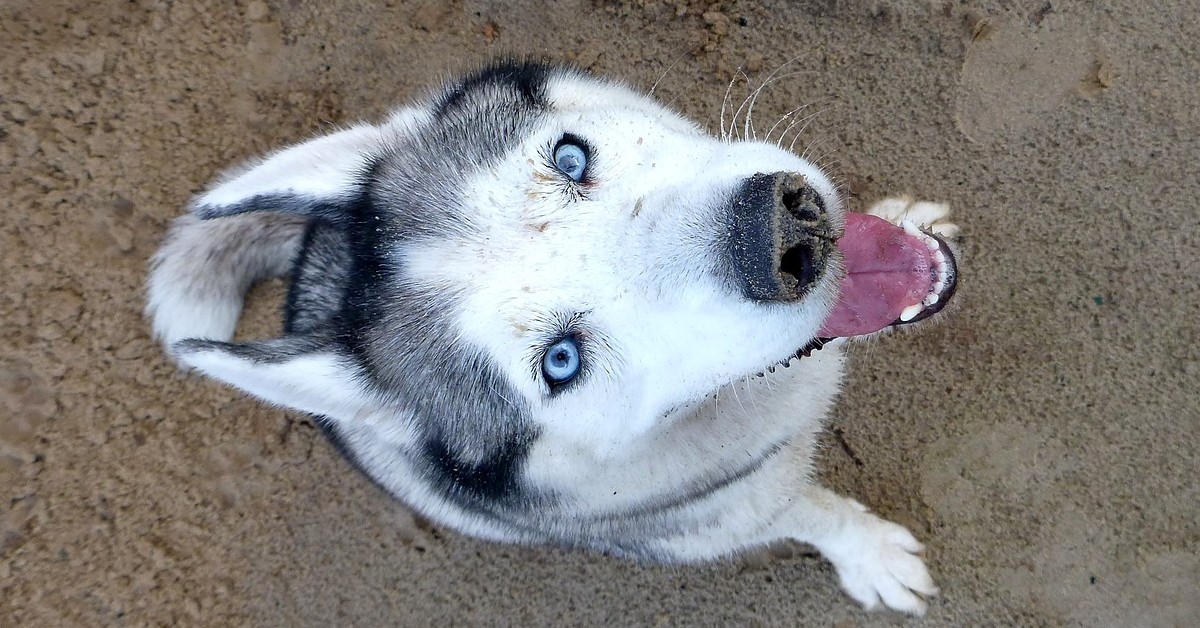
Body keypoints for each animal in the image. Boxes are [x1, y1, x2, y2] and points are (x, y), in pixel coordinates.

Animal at [145, 62, 960, 614]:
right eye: (561, 362)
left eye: (570, 156)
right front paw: (871, 557)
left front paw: (904, 217)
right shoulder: (734, 511)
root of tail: (320, 262)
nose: (784, 235)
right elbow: (814, 513)